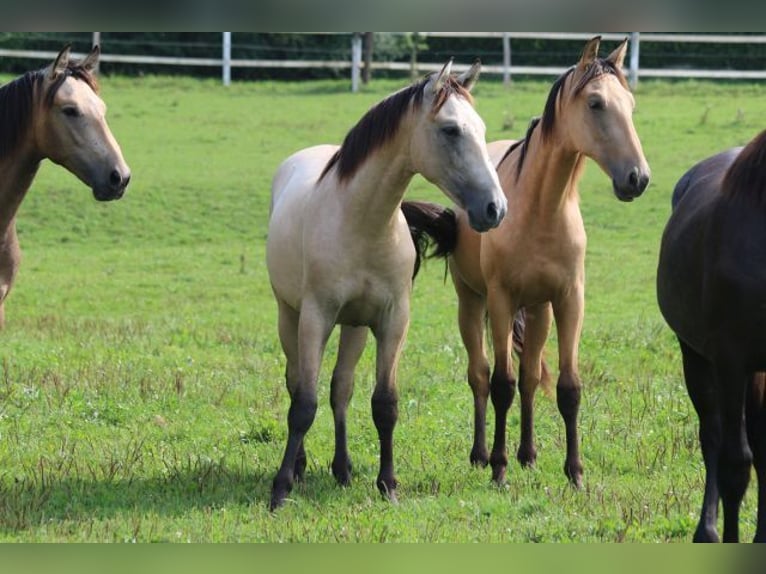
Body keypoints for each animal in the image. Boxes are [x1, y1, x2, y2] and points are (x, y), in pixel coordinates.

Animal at [268, 62, 508, 512]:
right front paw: (280, 488)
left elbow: (384, 404)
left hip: (354, 328)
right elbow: (303, 404)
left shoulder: (392, 321)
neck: (361, 223)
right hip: (289, 317)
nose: (495, 208)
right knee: (297, 383)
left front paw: (388, 484)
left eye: (482, 129)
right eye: (451, 130)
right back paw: (302, 466)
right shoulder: (315, 318)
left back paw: (342, 469)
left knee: (341, 390)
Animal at [404, 36, 652, 488]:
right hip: (473, 304)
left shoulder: (569, 301)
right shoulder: (501, 300)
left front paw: (575, 473)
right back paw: (482, 454)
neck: (541, 210)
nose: (637, 178)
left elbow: (566, 387)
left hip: (538, 312)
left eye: (630, 104)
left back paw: (528, 455)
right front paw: (499, 469)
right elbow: (501, 383)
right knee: (480, 375)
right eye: (595, 103)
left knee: (531, 377)